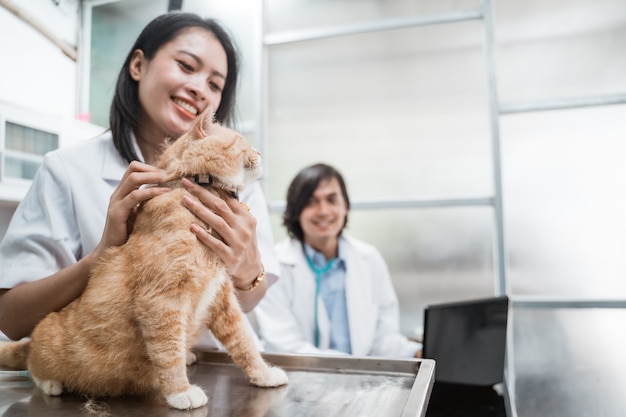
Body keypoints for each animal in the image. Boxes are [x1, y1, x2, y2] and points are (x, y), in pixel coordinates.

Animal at [0, 108, 288, 410]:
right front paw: (180, 391)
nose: (259, 152)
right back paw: (51, 383)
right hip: (44, 345)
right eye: (241, 142)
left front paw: (264, 374)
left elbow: (244, 342)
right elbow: (167, 350)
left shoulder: (222, 299)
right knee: (34, 365)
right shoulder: (162, 300)